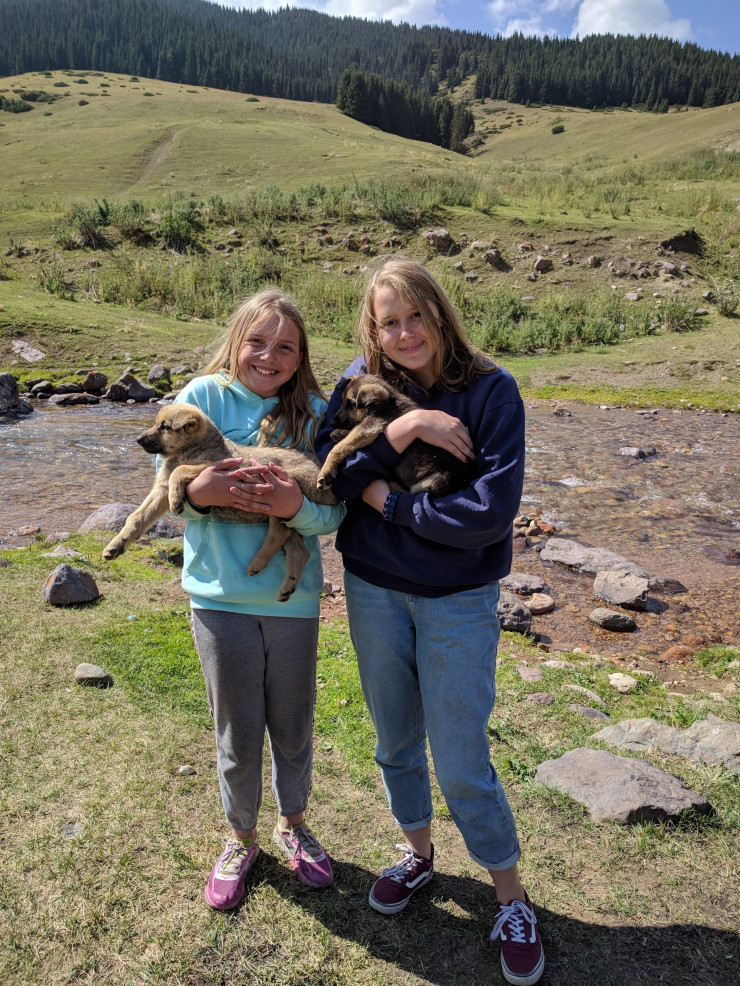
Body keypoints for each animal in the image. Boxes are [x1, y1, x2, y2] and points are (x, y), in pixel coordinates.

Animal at [102, 403, 338, 602]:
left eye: (165, 427)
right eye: (156, 423)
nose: (138, 439)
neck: (193, 448)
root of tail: (321, 467)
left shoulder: (213, 467)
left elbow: (180, 470)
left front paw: (177, 500)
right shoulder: (160, 489)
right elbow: (137, 516)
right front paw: (117, 544)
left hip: (278, 490)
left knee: (278, 532)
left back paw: (257, 562)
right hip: (288, 513)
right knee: (299, 549)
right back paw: (285, 586)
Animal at [317, 374, 477, 495]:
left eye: (351, 404)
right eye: (342, 401)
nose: (331, 422)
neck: (385, 403)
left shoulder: (373, 423)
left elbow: (340, 446)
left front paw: (326, 471)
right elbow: (349, 436)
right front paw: (339, 433)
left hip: (437, 480)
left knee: (411, 493)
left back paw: (391, 483)